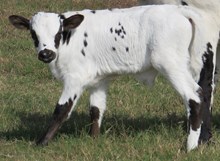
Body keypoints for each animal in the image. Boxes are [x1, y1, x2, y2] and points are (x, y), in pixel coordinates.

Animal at [8, 4, 220, 152]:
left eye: (58, 33)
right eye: (33, 34)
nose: (46, 54)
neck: (69, 41)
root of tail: (180, 11)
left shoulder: (74, 78)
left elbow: (61, 110)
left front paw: (40, 143)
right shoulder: (98, 81)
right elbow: (96, 111)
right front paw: (93, 141)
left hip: (170, 64)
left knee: (194, 95)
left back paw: (190, 147)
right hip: (195, 61)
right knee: (205, 92)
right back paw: (202, 141)